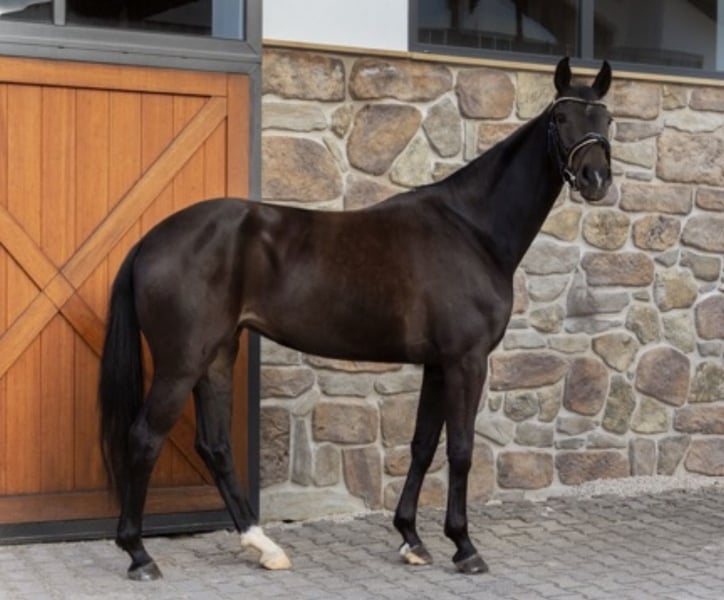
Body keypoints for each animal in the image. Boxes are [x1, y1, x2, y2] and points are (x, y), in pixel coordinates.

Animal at [99, 56, 613, 580]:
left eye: (606, 119)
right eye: (561, 118)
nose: (596, 178)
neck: (471, 229)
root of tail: (150, 240)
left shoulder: (437, 364)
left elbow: (423, 445)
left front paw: (411, 538)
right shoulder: (466, 362)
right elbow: (461, 449)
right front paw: (464, 546)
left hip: (218, 356)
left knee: (215, 445)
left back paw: (263, 545)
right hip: (181, 363)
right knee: (144, 437)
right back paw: (139, 554)